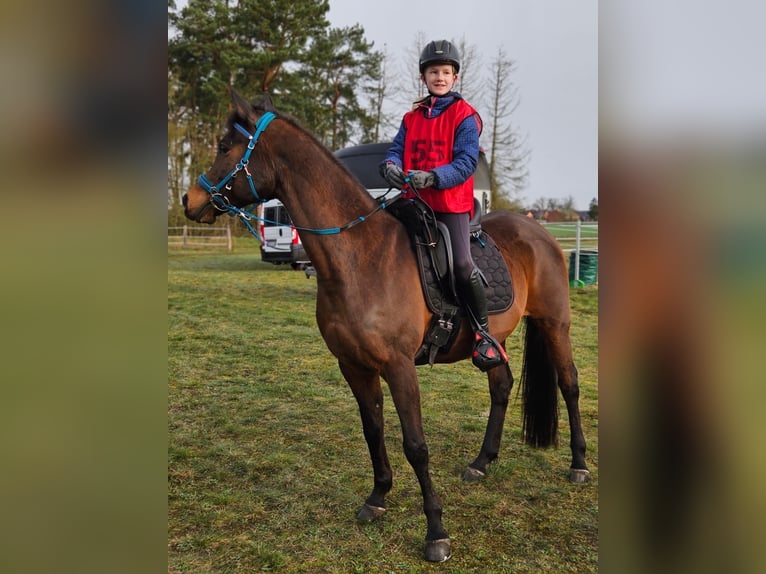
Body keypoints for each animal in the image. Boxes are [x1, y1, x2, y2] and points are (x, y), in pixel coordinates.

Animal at [182, 89, 589, 562]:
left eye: (225, 146)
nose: (190, 200)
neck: (360, 258)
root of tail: (536, 230)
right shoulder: (354, 366)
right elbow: (372, 429)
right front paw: (377, 498)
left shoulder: (399, 367)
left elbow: (416, 444)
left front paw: (436, 533)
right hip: (495, 338)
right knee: (502, 385)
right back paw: (481, 463)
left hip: (555, 324)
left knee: (569, 384)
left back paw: (579, 465)